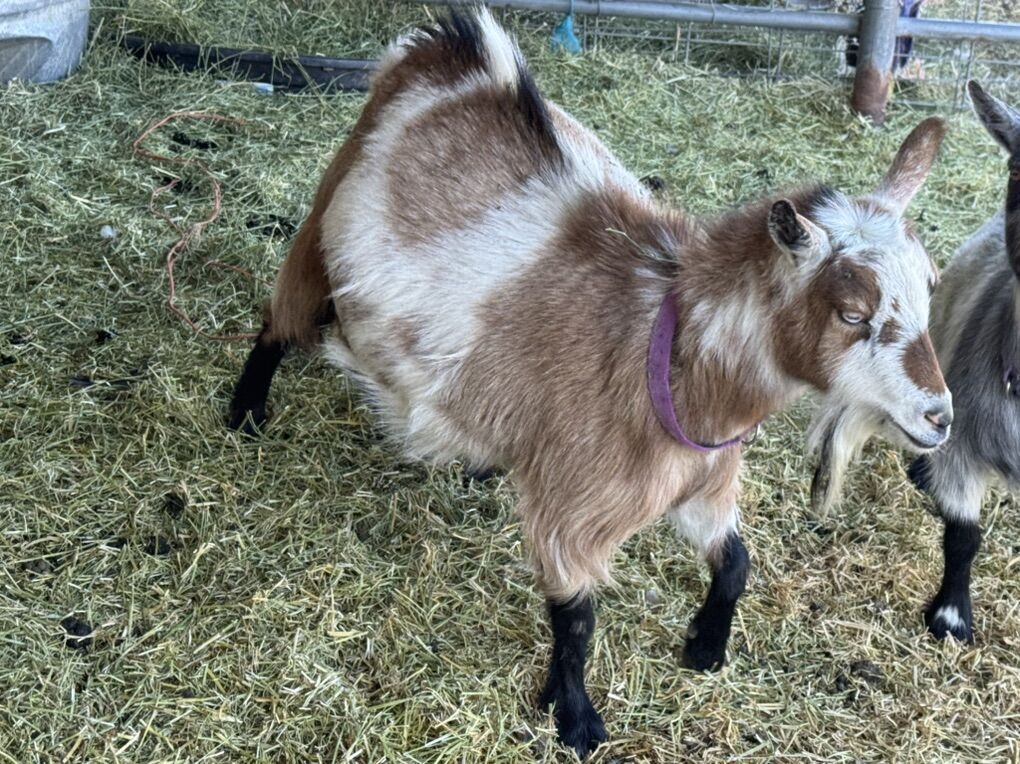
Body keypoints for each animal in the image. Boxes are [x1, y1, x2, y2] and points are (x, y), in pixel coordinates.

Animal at [227, 10, 951, 756]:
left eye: (931, 287)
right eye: (852, 312)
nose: (940, 416)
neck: (667, 356)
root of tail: (440, 52)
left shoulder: (701, 487)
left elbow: (736, 563)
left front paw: (706, 646)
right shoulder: (572, 507)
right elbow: (577, 617)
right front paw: (575, 718)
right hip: (318, 236)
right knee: (275, 325)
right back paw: (246, 412)